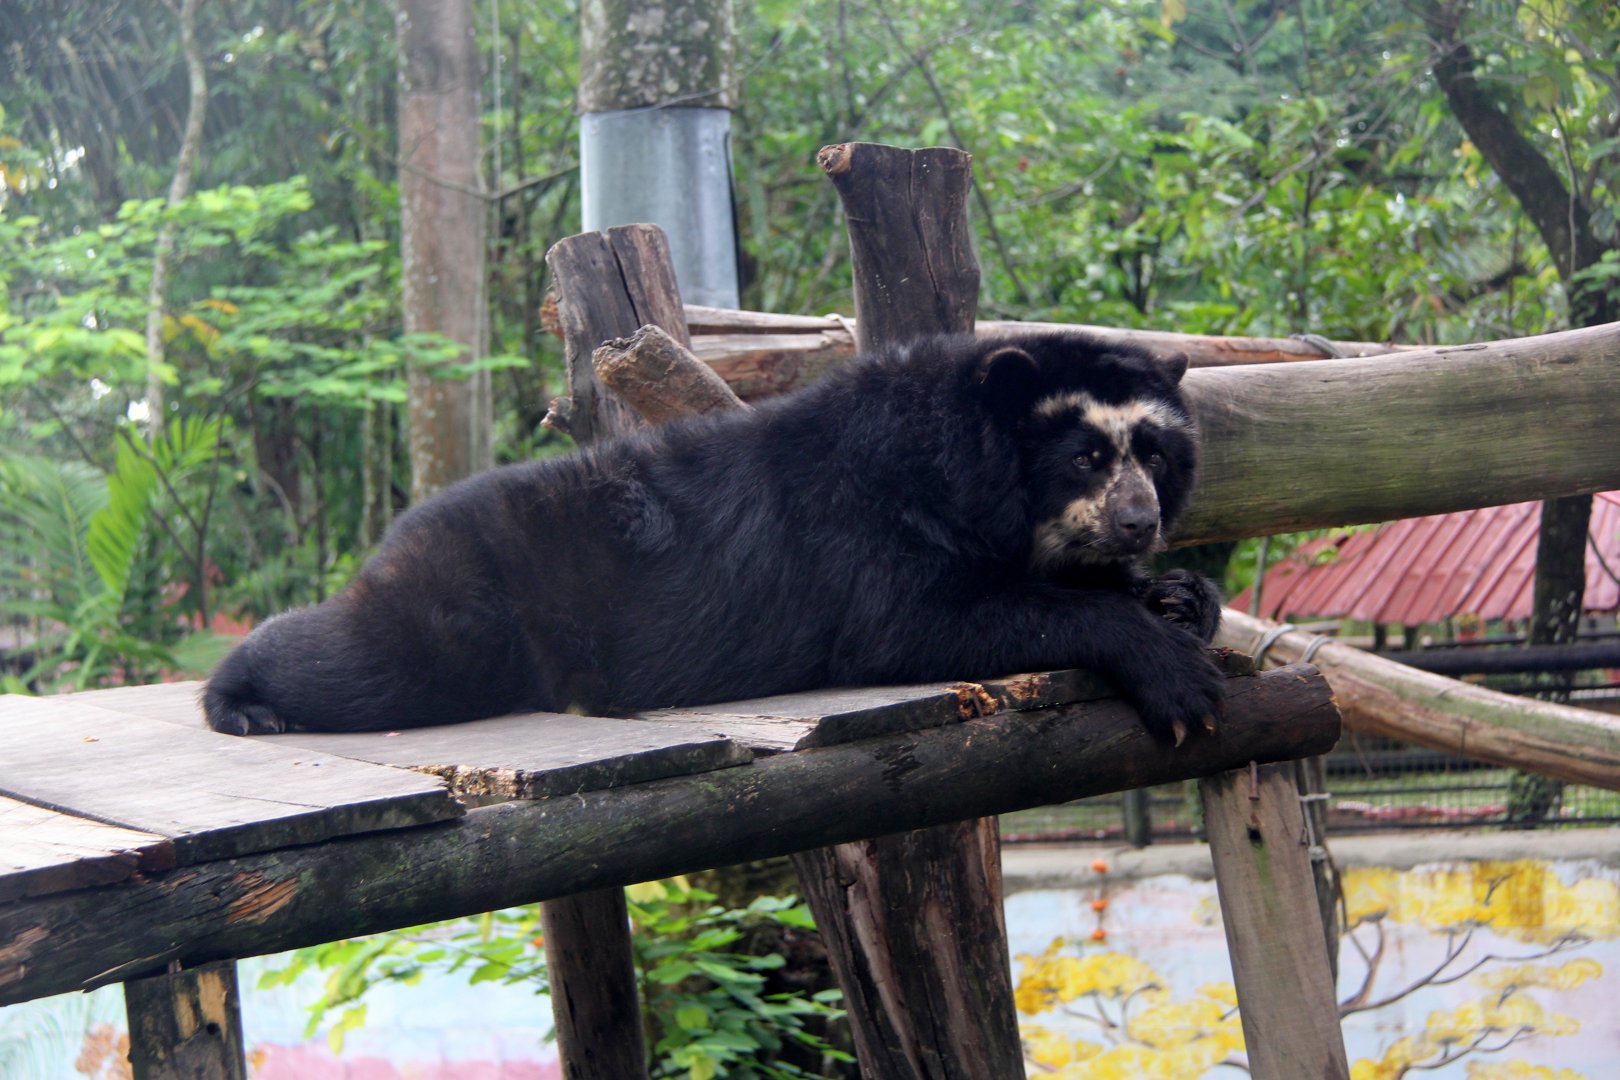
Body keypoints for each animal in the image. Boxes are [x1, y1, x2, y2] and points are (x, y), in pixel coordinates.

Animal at [203, 331, 1225, 743]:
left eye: (1155, 452)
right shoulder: (868, 525)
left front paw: (1180, 596)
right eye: (1085, 457)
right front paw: (1179, 680)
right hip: (463, 610)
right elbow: (923, 620)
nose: (1140, 521)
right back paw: (242, 700)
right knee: (366, 662)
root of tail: (402, 528)